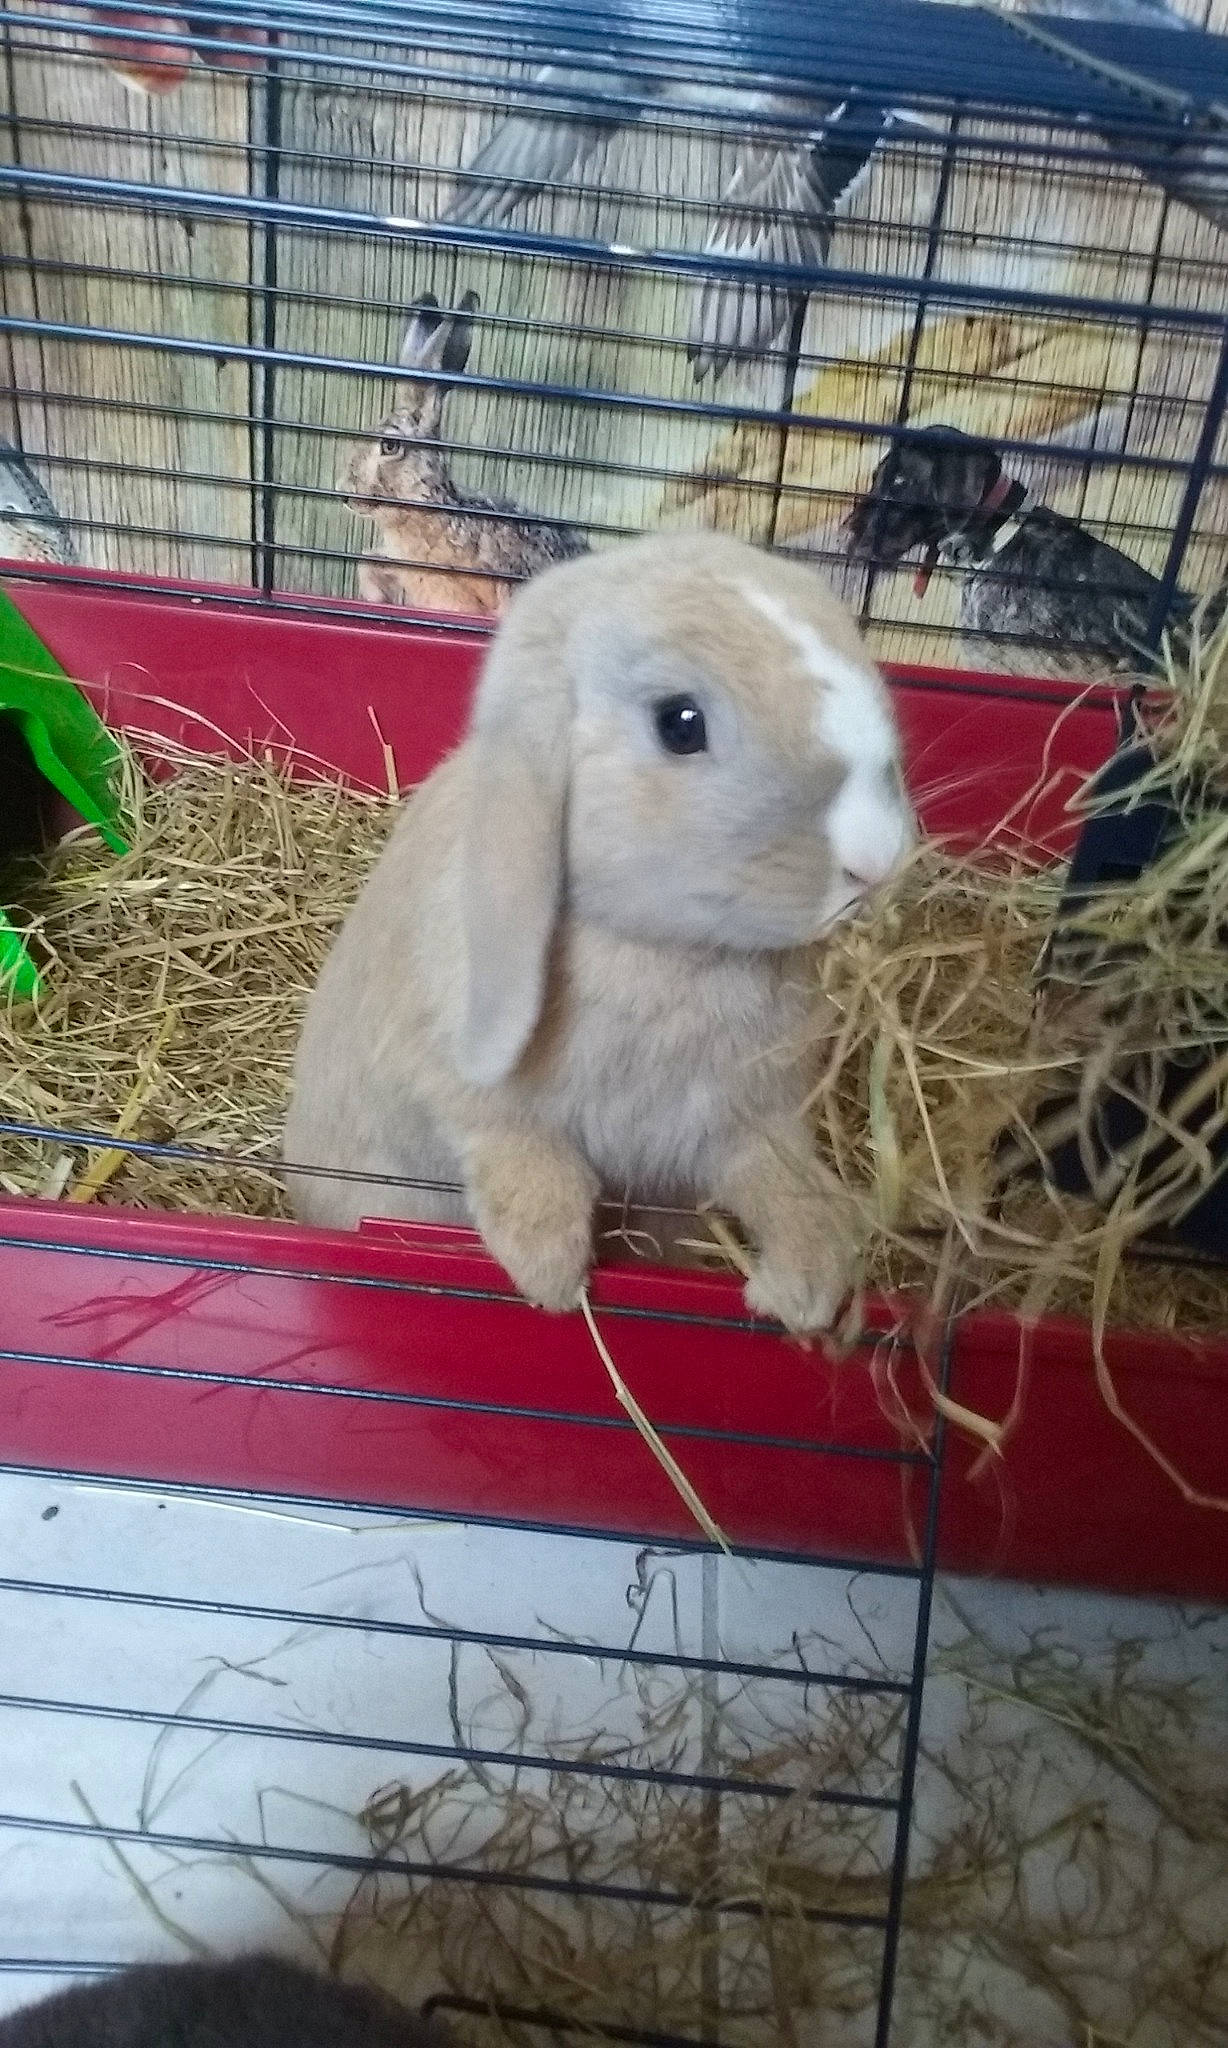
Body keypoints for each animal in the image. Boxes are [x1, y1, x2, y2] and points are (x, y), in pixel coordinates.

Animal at [283, 530, 914, 1334]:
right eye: (681, 723)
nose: (877, 861)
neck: (670, 957)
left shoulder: (744, 1122)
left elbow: (787, 1183)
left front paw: (805, 1294)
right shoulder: (468, 1097)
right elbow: (526, 1161)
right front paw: (551, 1278)